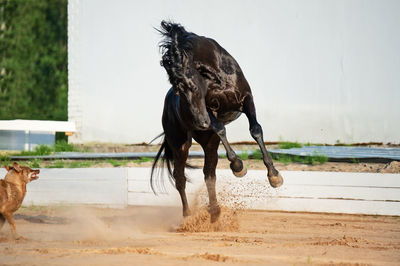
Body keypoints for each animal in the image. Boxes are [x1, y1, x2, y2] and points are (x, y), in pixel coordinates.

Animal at [152, 20, 282, 221]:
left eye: (192, 86)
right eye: (178, 91)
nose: (200, 123)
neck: (218, 75)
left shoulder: (247, 99)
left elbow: (256, 129)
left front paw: (274, 175)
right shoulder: (211, 110)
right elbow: (220, 128)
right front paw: (238, 166)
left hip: (209, 142)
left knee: (209, 174)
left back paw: (214, 212)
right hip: (180, 144)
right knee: (180, 177)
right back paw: (188, 217)